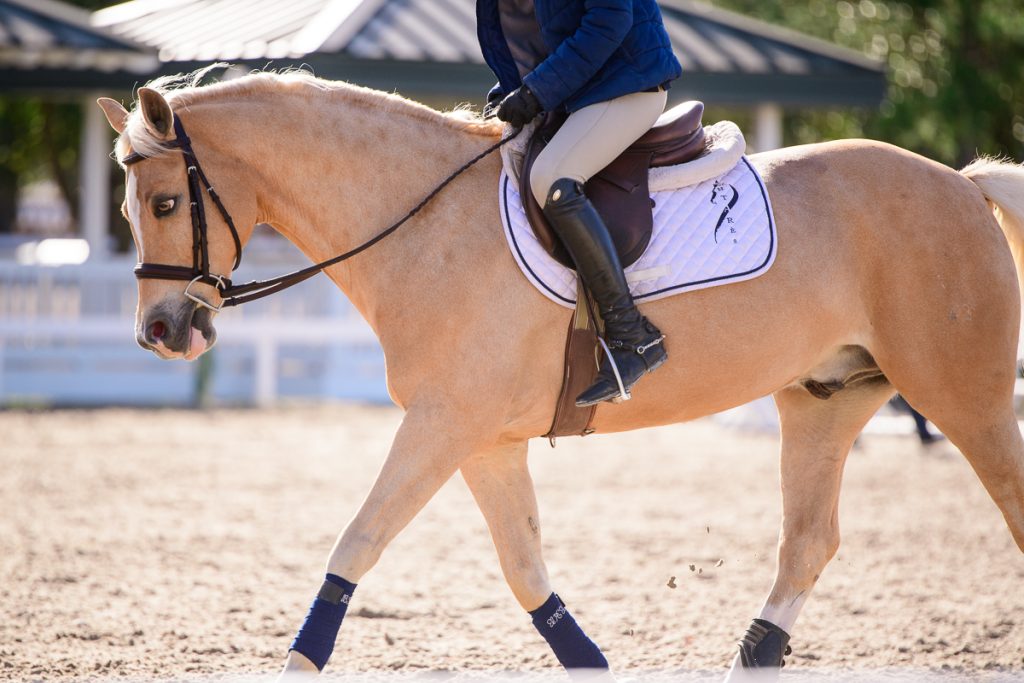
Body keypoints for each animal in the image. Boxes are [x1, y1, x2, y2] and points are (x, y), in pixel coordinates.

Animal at [97, 69, 1024, 679]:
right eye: (129, 209)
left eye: (168, 204)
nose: (161, 331)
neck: (422, 224)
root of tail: (960, 182)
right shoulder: (481, 438)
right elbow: (524, 568)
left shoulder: (444, 423)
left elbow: (358, 540)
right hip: (823, 398)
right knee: (808, 542)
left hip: (964, 396)